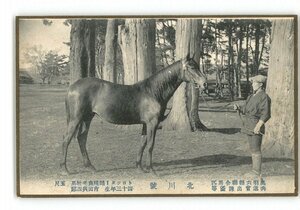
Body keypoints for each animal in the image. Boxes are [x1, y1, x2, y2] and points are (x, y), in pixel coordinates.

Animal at [61, 54, 206, 174]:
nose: (204, 83)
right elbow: (150, 145)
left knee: (81, 138)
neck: (152, 92)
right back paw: (65, 170)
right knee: (66, 140)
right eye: (192, 67)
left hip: (87, 118)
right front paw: (152, 170)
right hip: (75, 119)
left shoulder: (145, 124)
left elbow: (142, 144)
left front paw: (140, 167)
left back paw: (90, 166)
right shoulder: (152, 123)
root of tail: (72, 87)